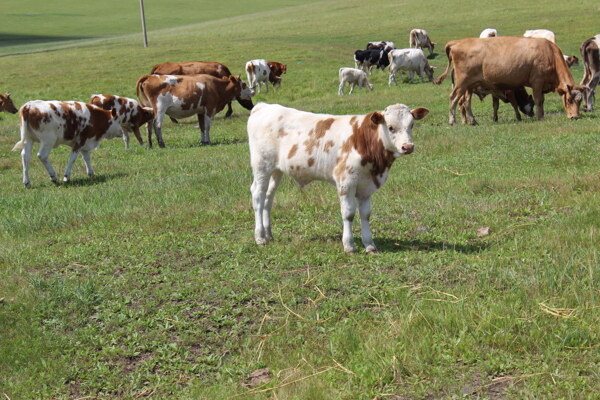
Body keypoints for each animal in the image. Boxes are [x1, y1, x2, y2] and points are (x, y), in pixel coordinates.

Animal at [246, 102, 428, 253]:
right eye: (390, 127)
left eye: (411, 125)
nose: (408, 147)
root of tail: (264, 106)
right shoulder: (346, 182)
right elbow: (348, 214)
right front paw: (349, 245)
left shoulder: (366, 187)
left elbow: (365, 214)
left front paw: (369, 245)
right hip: (261, 166)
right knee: (258, 196)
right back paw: (260, 237)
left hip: (276, 170)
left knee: (268, 197)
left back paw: (269, 234)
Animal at [434, 37, 584, 126]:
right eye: (569, 100)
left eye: (580, 101)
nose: (575, 117)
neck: (549, 53)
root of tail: (457, 42)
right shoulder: (537, 82)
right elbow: (538, 100)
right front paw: (540, 117)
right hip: (462, 82)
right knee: (453, 98)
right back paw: (452, 121)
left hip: (470, 85)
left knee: (466, 102)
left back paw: (473, 121)